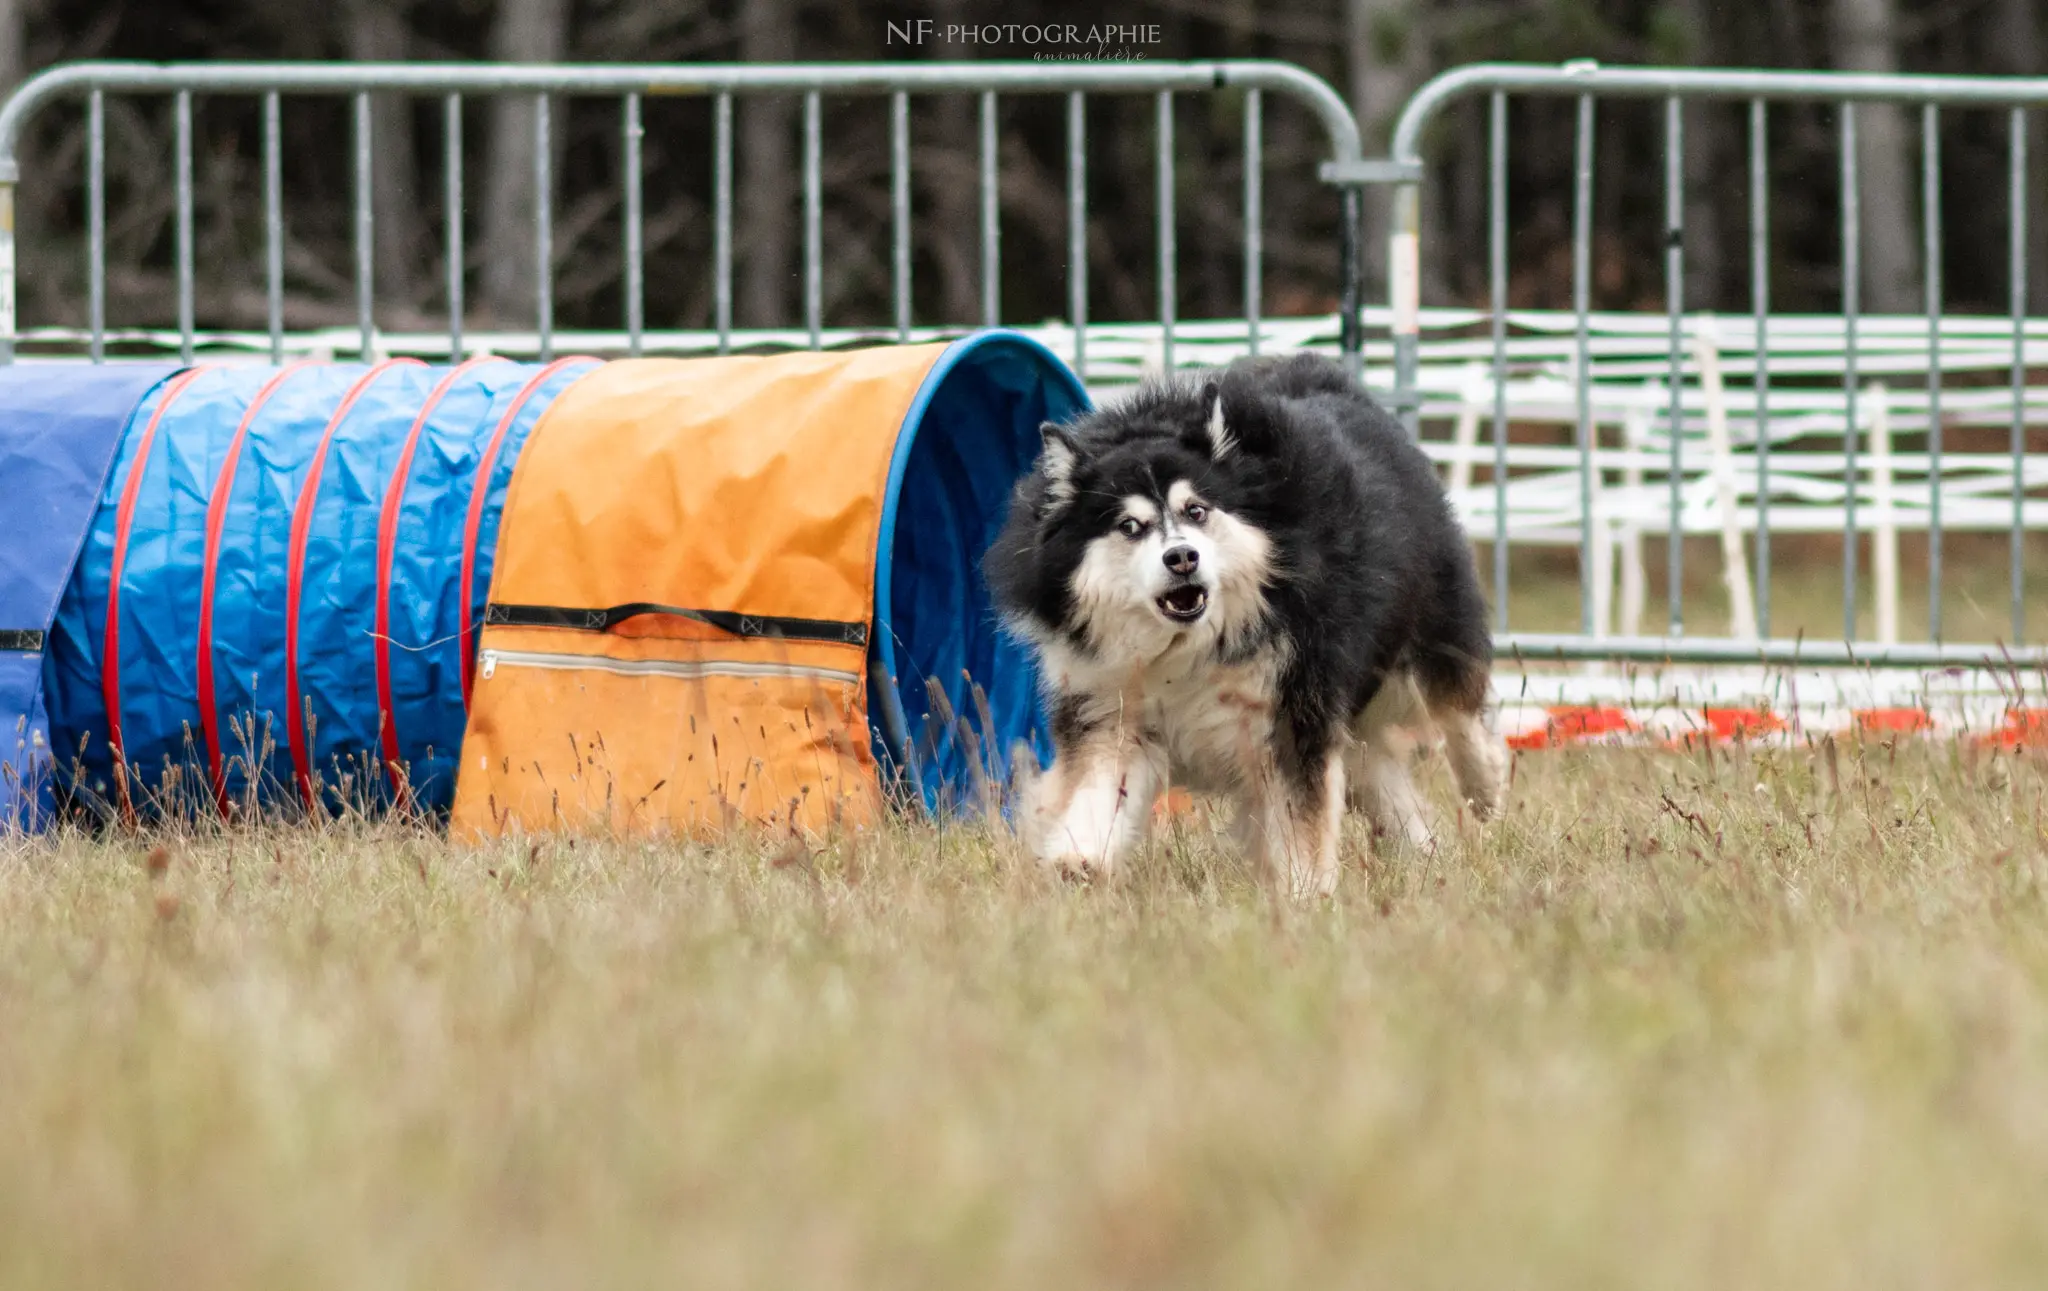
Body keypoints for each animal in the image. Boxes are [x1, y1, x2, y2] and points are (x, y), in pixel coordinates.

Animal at [983, 354, 1515, 901]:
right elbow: (1100, 788)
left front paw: (1307, 893)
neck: (1187, 647)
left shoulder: (1292, 708)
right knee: (1378, 770)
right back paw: (1426, 853)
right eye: (1129, 526)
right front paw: (1077, 858)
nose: (1181, 556)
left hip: (1429, 628)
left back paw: (1486, 787)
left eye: (1196, 510)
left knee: (1458, 708)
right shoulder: (1113, 708)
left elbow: (1303, 817)